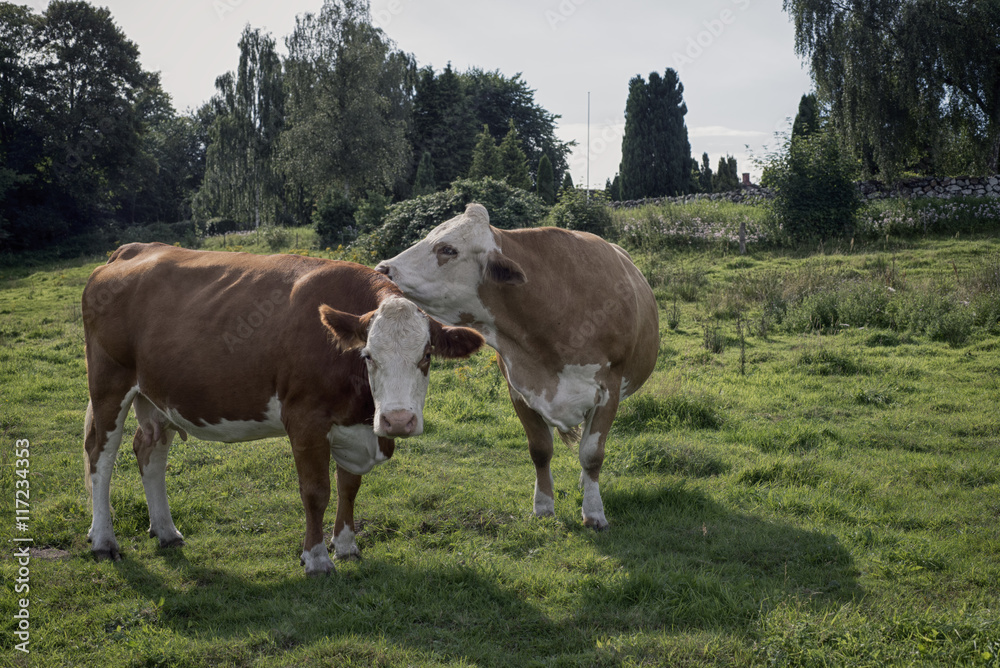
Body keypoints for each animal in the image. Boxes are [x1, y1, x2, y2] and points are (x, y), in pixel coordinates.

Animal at [82, 242, 484, 575]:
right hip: (109, 383)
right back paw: (103, 541)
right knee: (100, 455)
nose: (398, 420)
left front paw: (347, 545)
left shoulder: (354, 425)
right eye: (368, 355)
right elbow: (316, 491)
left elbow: (349, 486)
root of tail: (131, 249)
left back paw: (166, 531)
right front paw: (317, 558)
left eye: (427, 355)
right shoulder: (305, 419)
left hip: (158, 395)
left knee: (149, 451)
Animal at [376, 203, 659, 530]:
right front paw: (543, 506)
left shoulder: (609, 390)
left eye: (447, 249)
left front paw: (594, 512)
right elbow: (540, 450)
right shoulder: (519, 389)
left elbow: (592, 454)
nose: (383, 269)